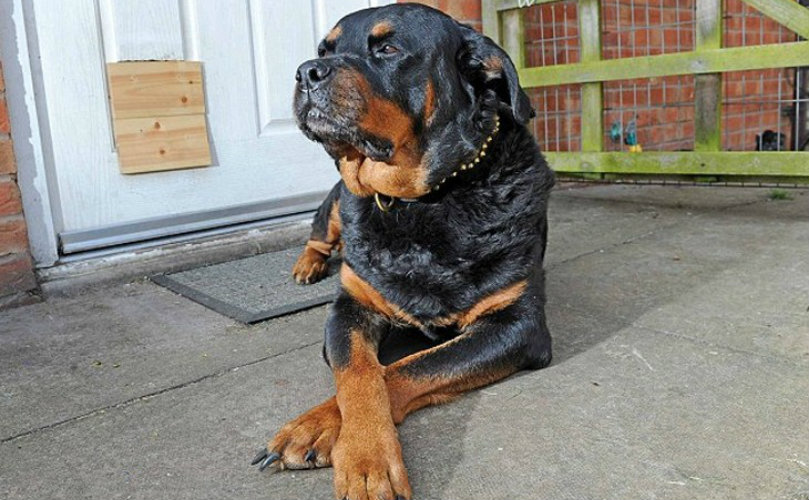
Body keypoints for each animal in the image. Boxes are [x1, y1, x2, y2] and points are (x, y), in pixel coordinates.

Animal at [252, 4, 556, 500]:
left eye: (389, 48)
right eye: (324, 50)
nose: (305, 71)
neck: (421, 200)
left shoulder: (518, 325)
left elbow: (405, 369)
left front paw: (354, 454)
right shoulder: (350, 306)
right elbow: (358, 373)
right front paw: (337, 439)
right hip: (332, 205)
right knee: (319, 235)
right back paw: (307, 265)